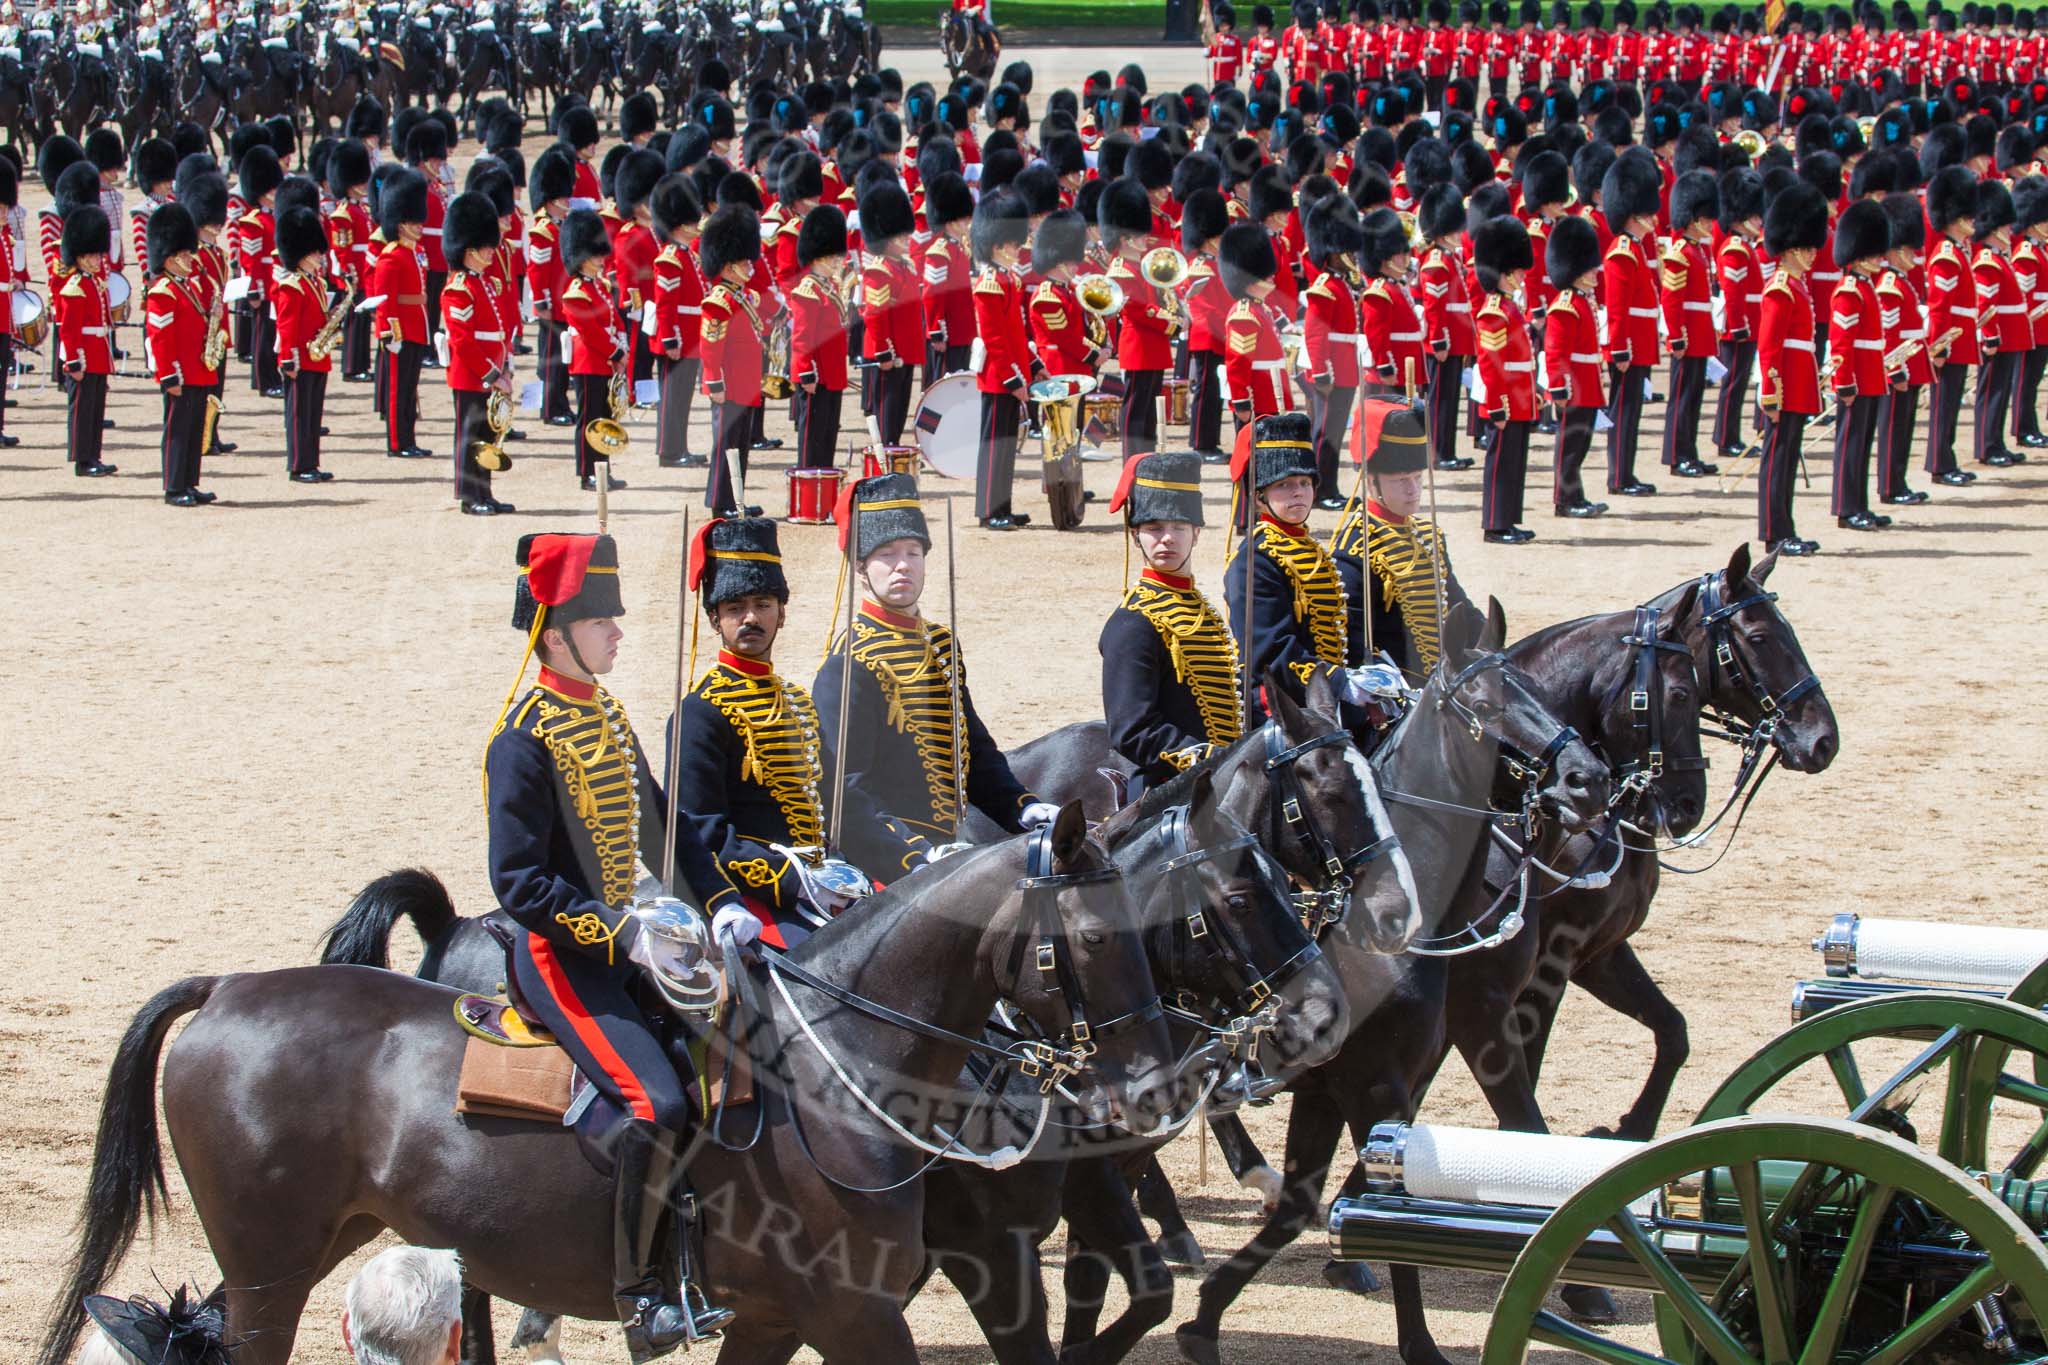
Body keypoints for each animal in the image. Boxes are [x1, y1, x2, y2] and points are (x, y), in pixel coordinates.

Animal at [36, 802, 1187, 1365]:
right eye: (1093, 936)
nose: (1148, 1094)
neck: (840, 1065)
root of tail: (229, 986)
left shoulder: (778, 1319)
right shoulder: (864, 1314)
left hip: (313, 1242)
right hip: (274, 1266)